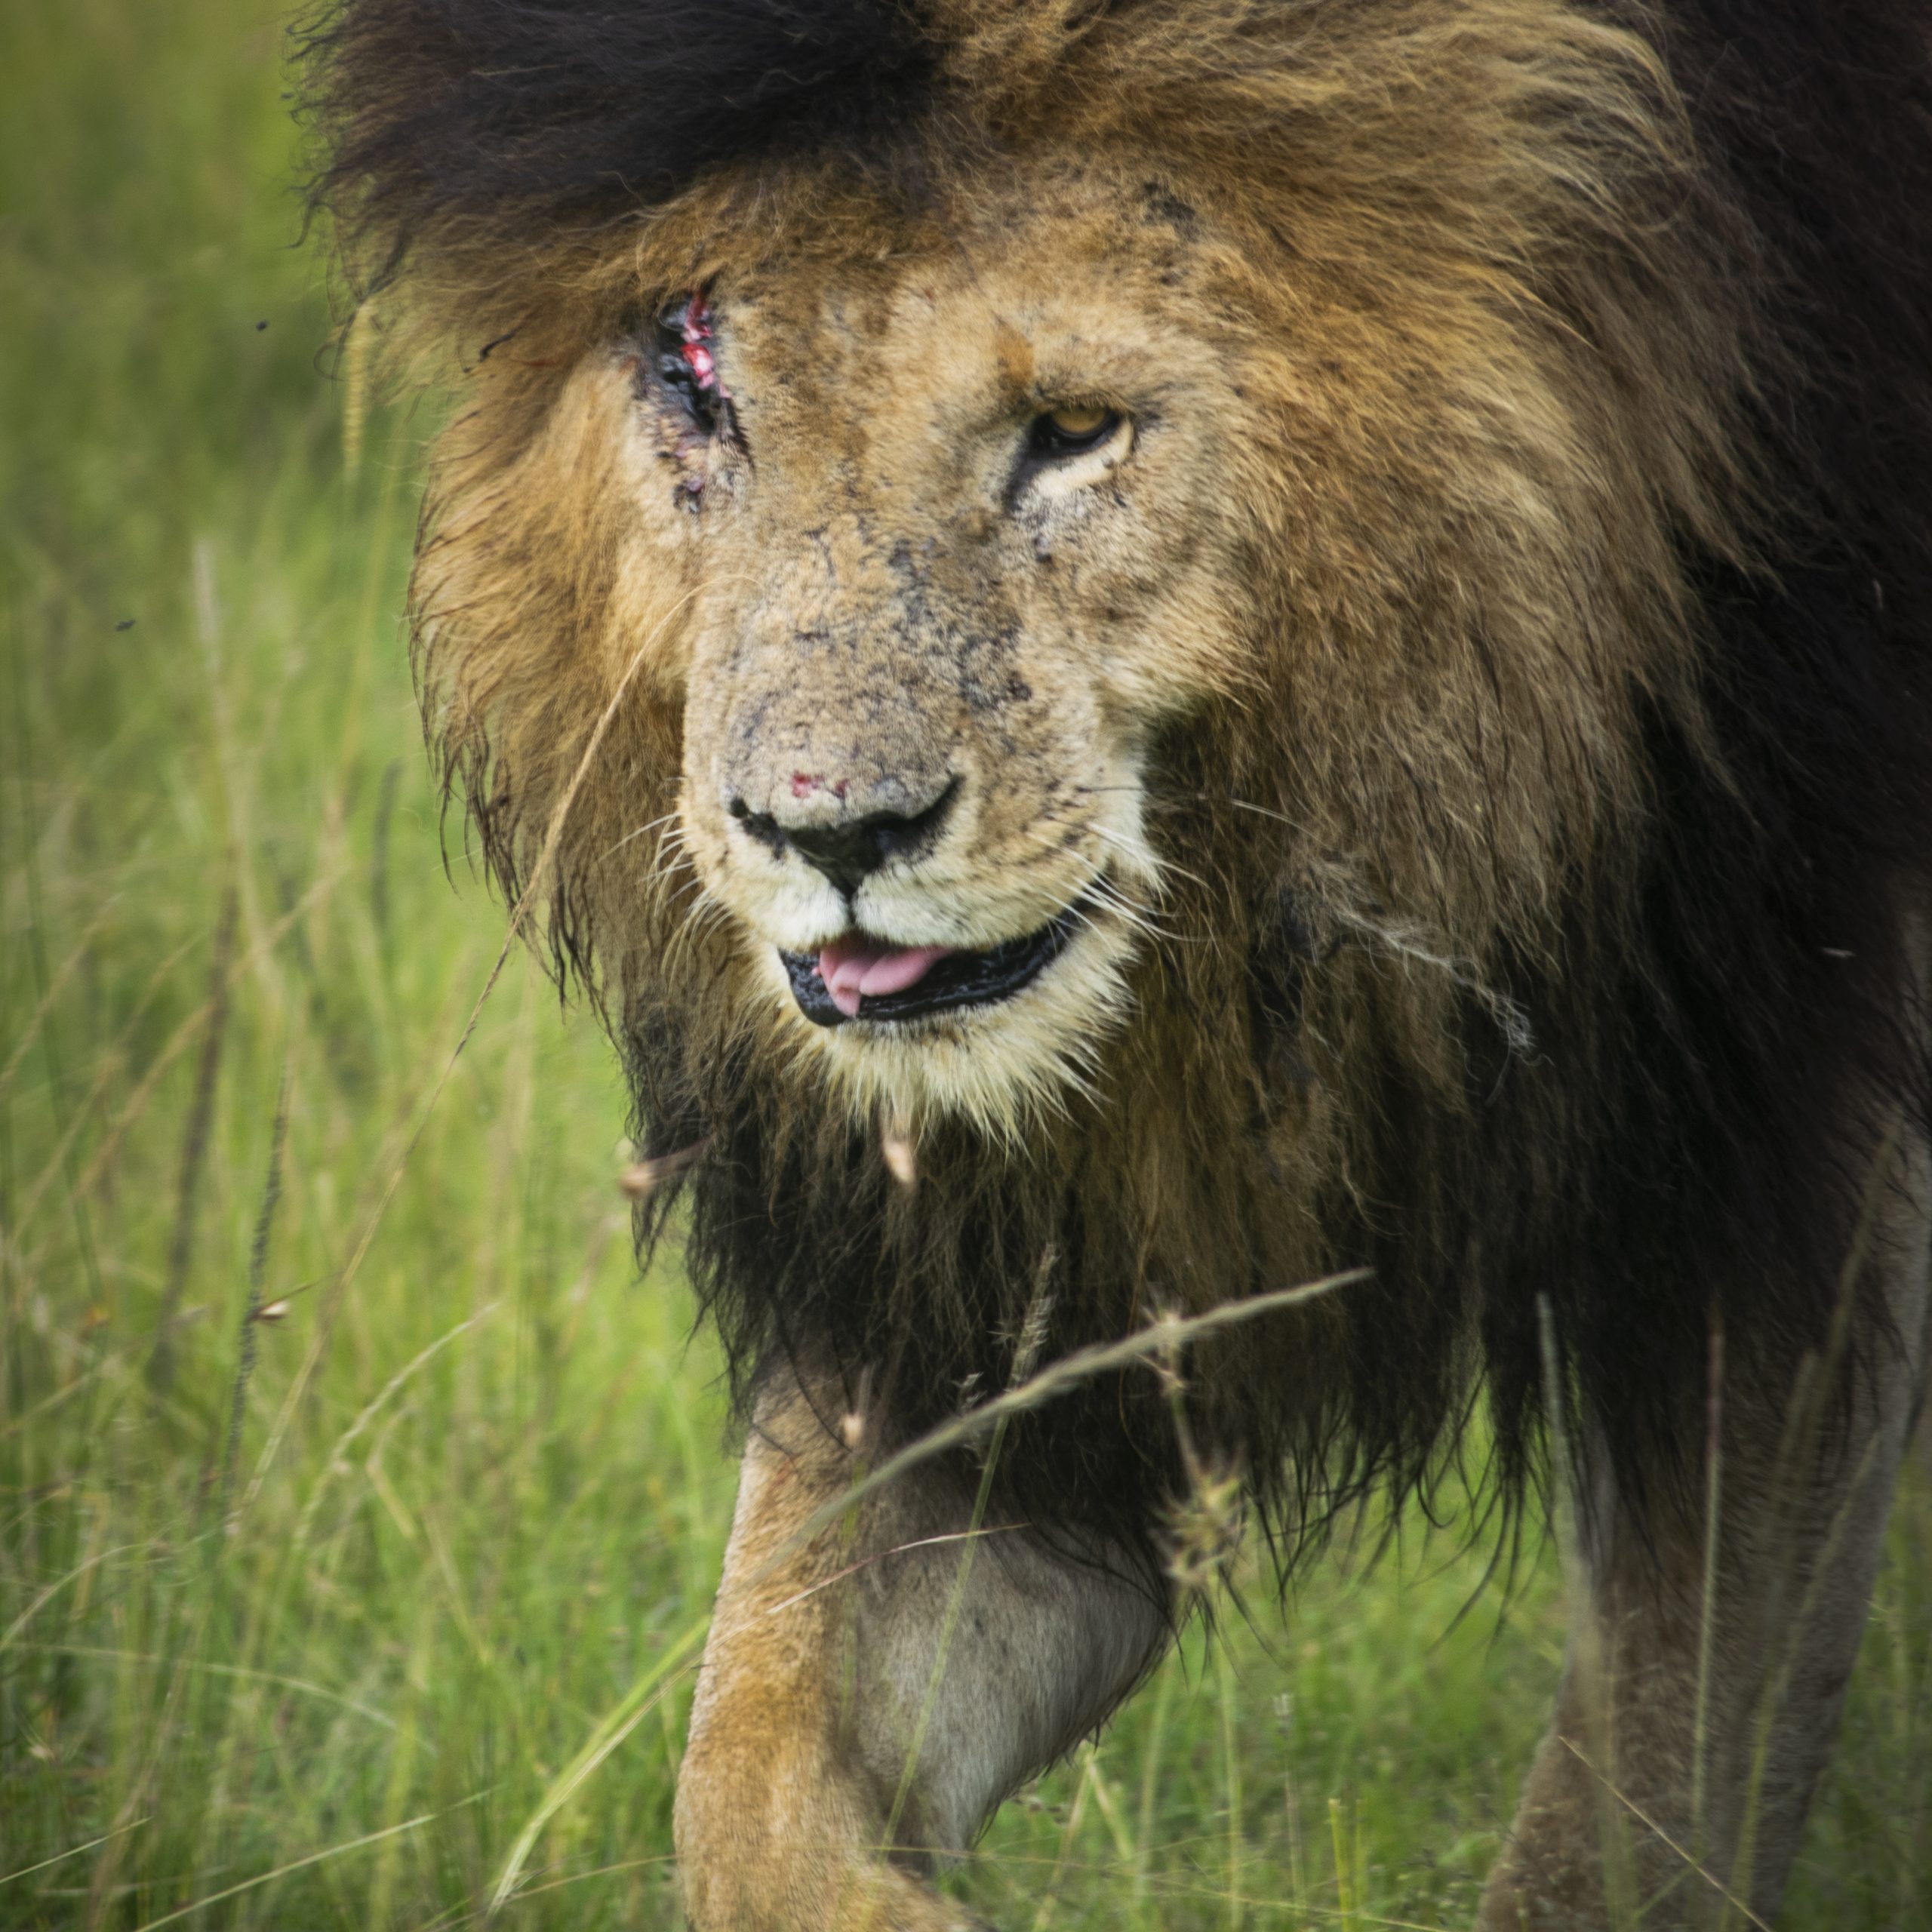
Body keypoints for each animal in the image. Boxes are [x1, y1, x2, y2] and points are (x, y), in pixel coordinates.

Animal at [301, 4, 1932, 1916]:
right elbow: (745, 1784)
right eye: (698, 389)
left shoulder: (1784, 1210)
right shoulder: (983, 1310)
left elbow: (1627, 1829)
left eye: (1072, 429)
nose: (823, 830)